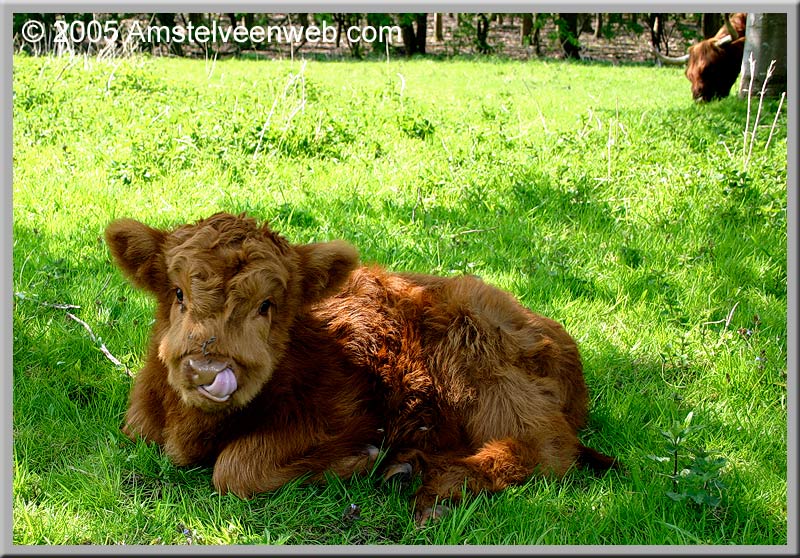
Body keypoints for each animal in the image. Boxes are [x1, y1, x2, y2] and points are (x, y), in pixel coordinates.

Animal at [106, 212, 616, 528]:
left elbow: (235, 468)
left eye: (267, 305)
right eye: (178, 294)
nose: (208, 367)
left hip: (482, 364)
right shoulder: (139, 424)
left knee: (546, 450)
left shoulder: (345, 411)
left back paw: (432, 484)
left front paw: (357, 460)